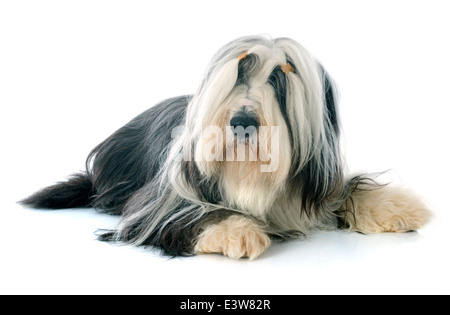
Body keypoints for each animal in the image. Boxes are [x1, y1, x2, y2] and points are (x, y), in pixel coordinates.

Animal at [22, 35, 430, 260]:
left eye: (279, 78)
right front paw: (236, 229)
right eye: (238, 74)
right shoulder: (158, 204)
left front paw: (398, 207)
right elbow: (197, 212)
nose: (242, 120)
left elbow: (347, 188)